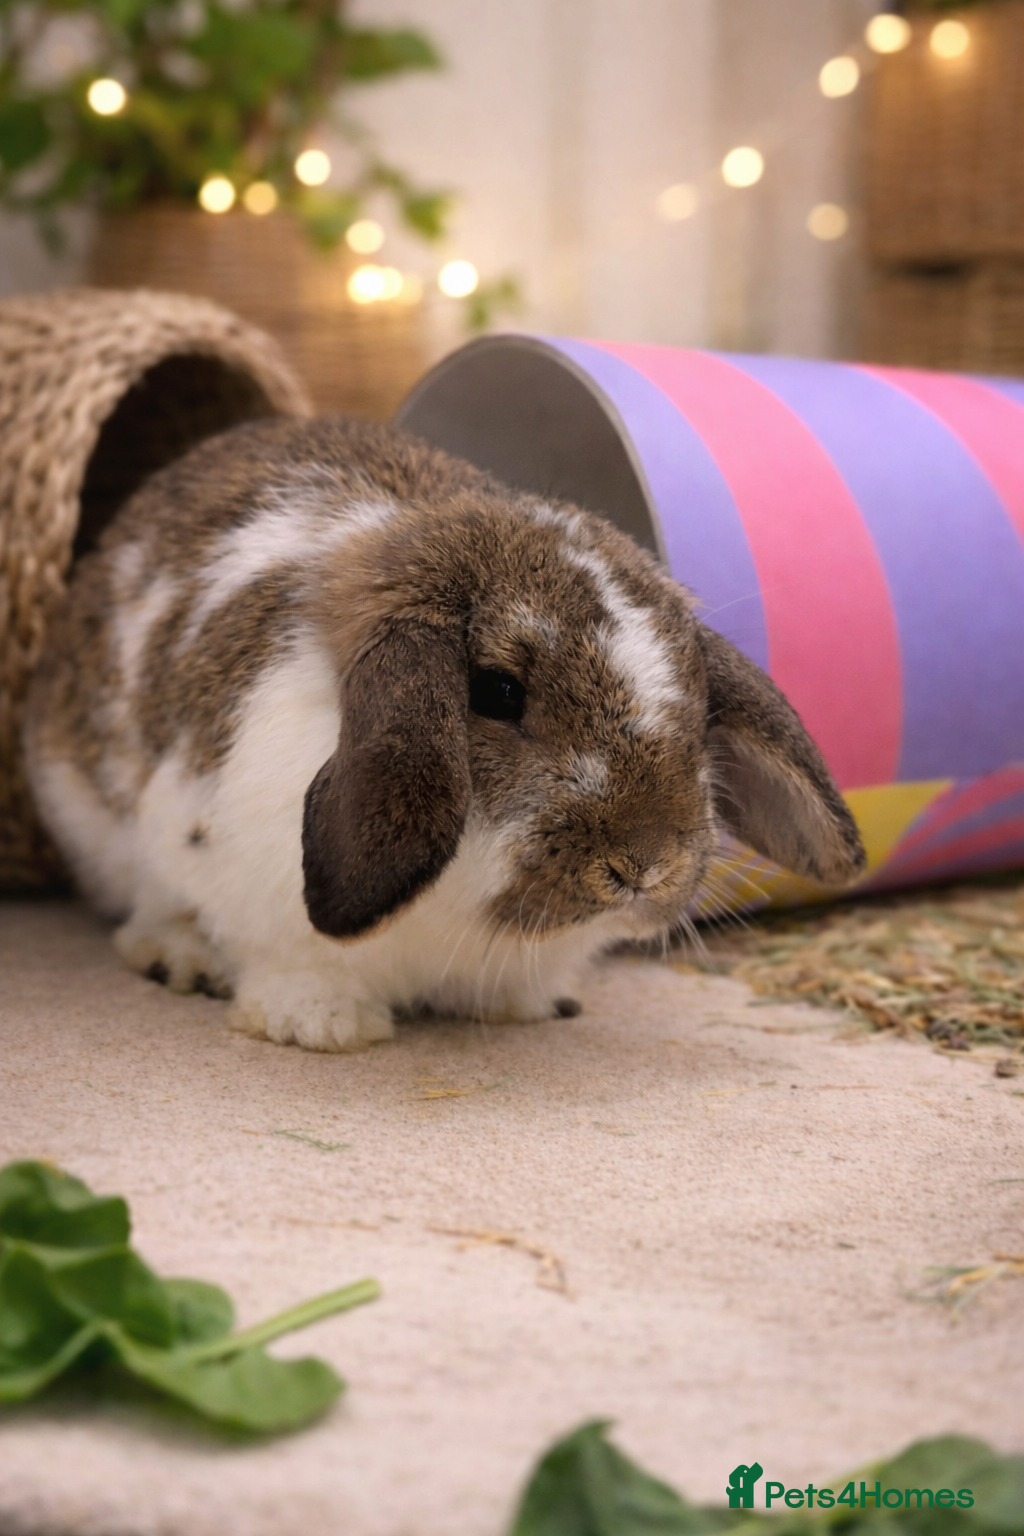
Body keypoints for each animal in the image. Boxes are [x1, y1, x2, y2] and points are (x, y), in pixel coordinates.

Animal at [24, 416, 865, 1052]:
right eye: (496, 692)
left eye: (696, 702)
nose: (643, 864)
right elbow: (290, 965)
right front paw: (320, 1028)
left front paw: (526, 1008)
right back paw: (180, 957)